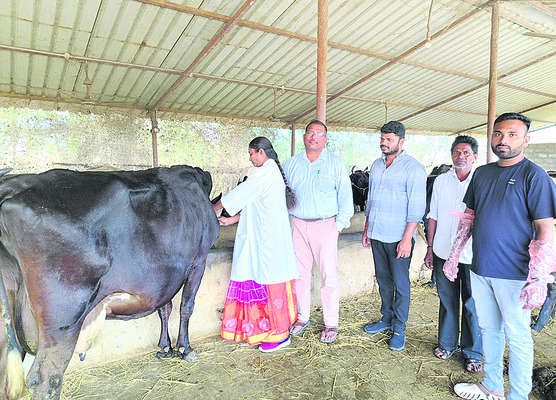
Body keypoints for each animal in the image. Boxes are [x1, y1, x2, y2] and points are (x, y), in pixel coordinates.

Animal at [0, 166, 220, 400]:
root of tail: (15, 185)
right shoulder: (198, 260)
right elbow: (186, 307)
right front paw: (185, 349)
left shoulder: (165, 278)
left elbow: (165, 308)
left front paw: (164, 348)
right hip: (63, 321)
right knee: (46, 379)